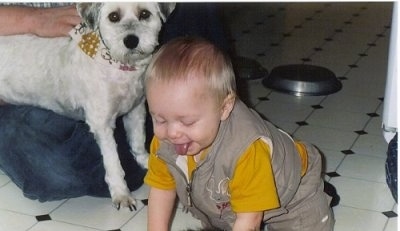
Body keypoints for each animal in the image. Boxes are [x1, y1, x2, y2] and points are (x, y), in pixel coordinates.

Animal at [0, 2, 175, 211]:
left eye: (144, 14)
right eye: (113, 16)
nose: (131, 40)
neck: (120, 66)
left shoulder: (136, 110)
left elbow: (138, 141)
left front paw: (146, 161)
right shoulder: (102, 123)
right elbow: (113, 163)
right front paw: (122, 194)